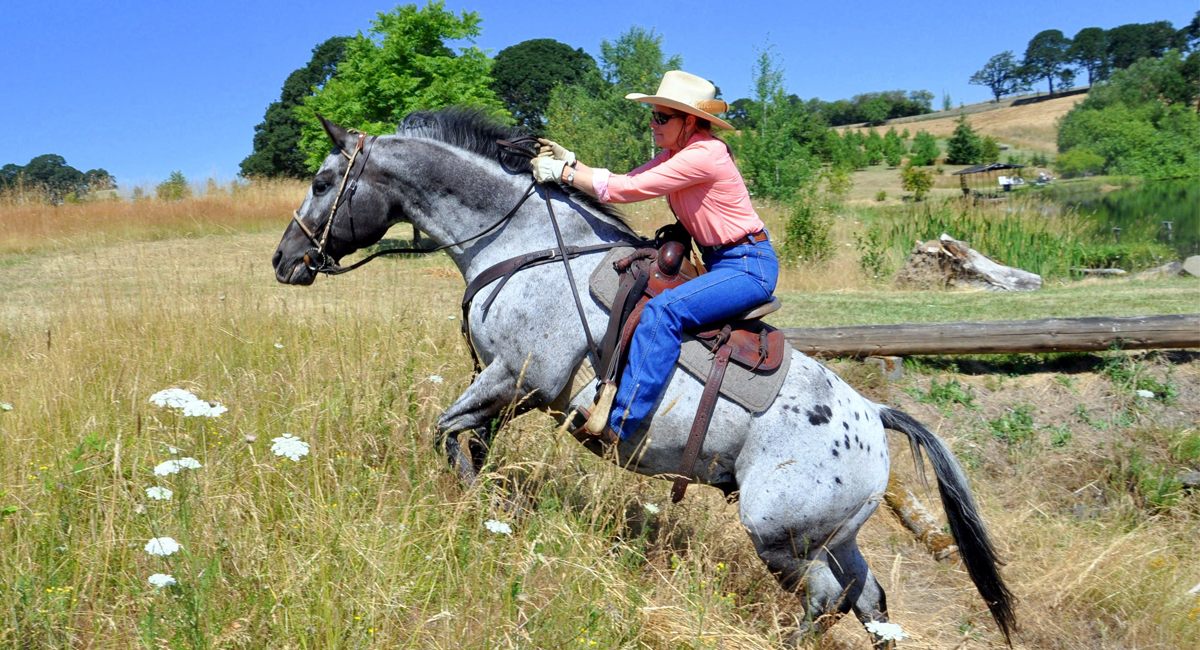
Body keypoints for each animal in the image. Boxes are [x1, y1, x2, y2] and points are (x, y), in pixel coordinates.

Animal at [272, 108, 1012, 647]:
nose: (285, 260)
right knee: (870, 601)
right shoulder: (503, 389)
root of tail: (875, 420)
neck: (522, 248)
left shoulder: (519, 378)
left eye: (321, 180)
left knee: (827, 600)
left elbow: (447, 433)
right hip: (836, 537)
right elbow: (467, 443)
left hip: (779, 533)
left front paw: (487, 516)